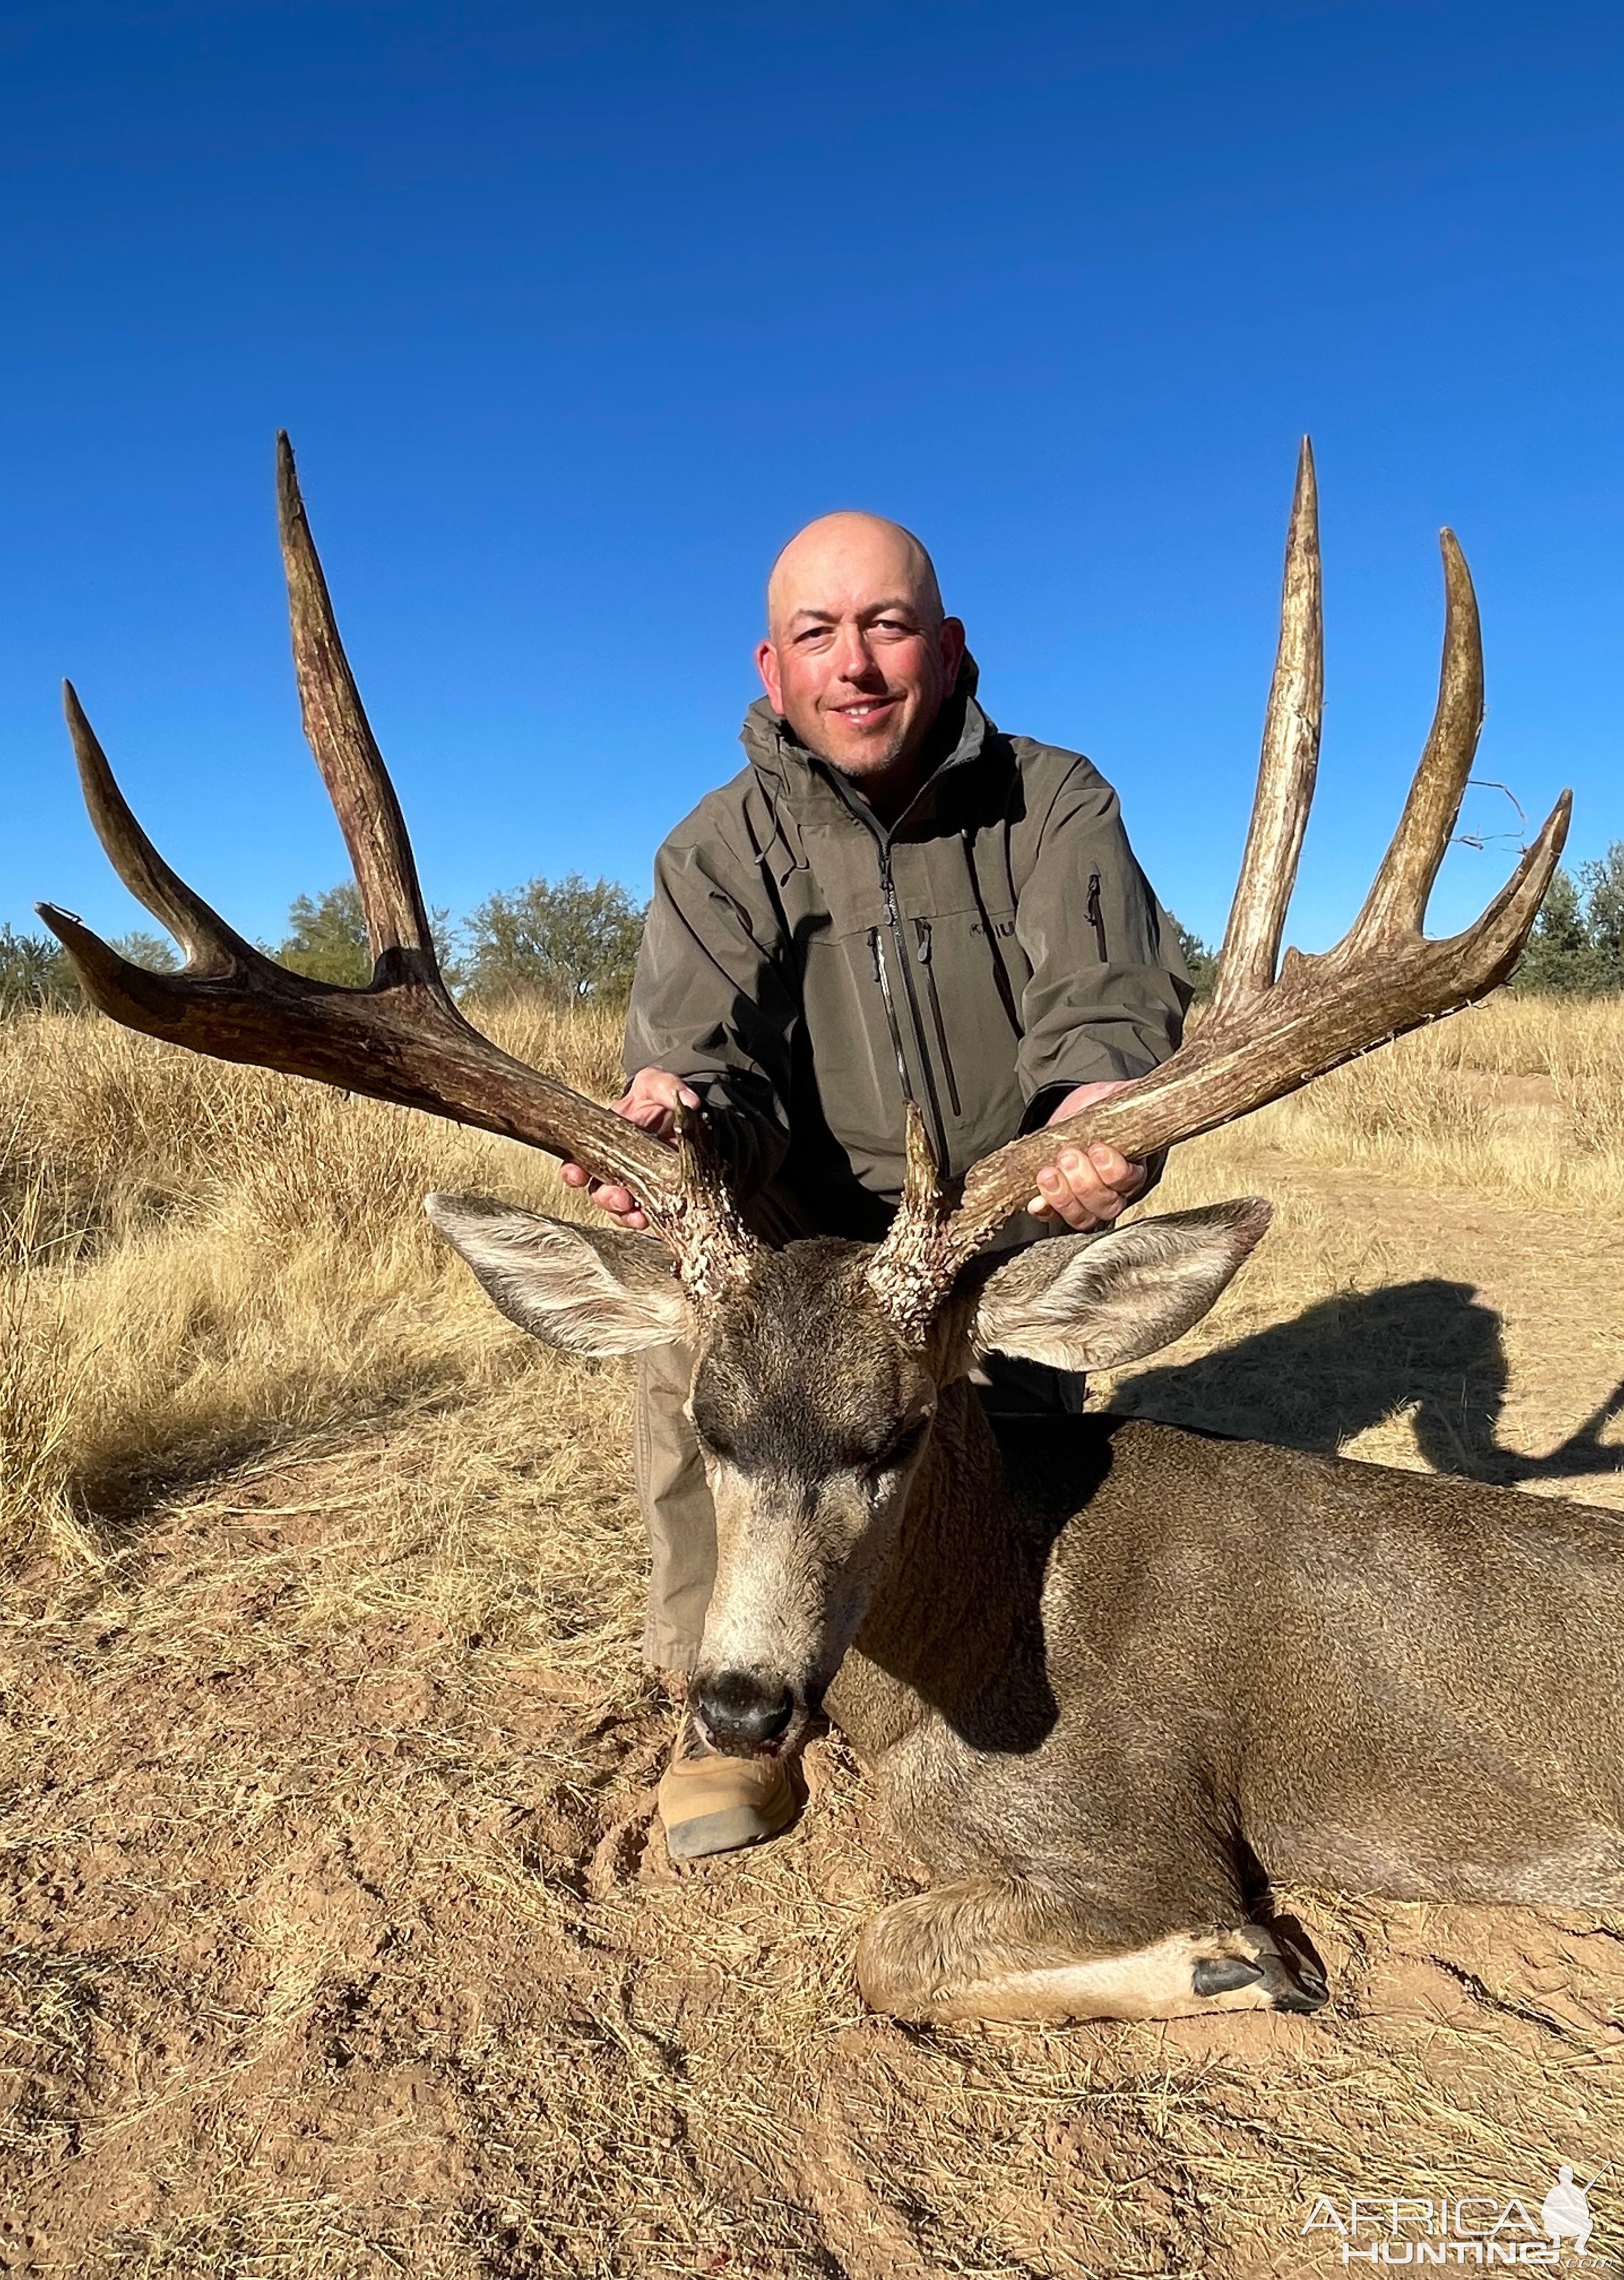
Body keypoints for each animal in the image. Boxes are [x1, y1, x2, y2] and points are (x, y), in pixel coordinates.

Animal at [44, 435, 1614, 2024]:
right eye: (708, 1422)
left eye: (902, 1431)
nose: (739, 1702)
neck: (972, 1649)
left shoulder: (1140, 1820)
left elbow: (892, 1951)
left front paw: (1241, 1962)